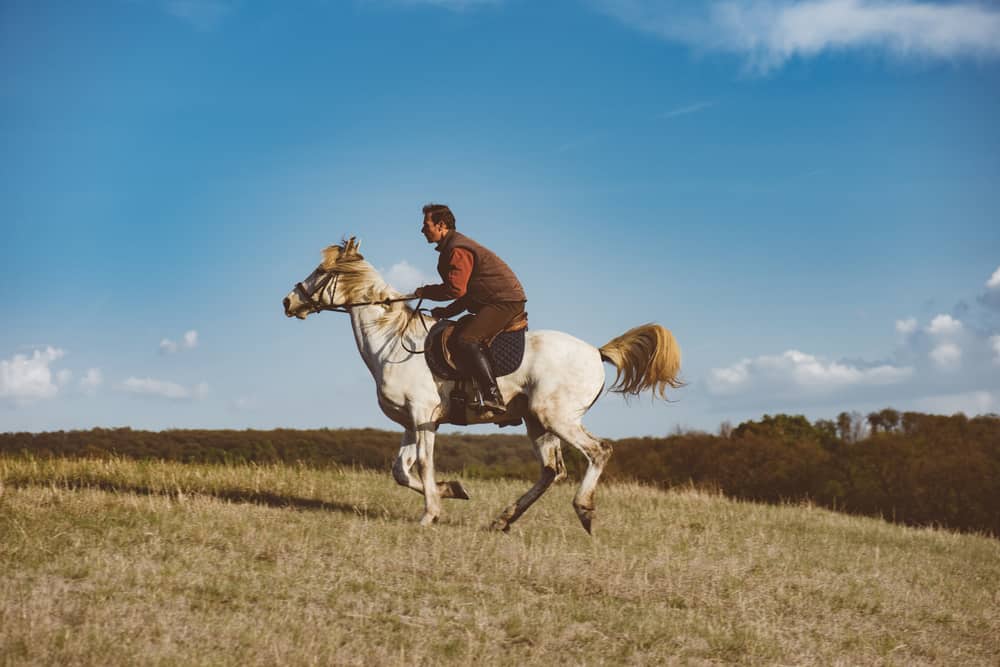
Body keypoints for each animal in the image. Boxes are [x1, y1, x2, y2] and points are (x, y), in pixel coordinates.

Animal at [286, 237, 684, 536]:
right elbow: (401, 470)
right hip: (537, 422)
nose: (288, 301)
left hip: (557, 417)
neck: (393, 343)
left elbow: (425, 464)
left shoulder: (423, 415)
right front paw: (451, 490)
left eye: (321, 272)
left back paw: (583, 510)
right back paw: (504, 519)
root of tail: (595, 352)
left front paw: (431, 513)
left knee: (598, 452)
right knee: (552, 470)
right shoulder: (411, 422)